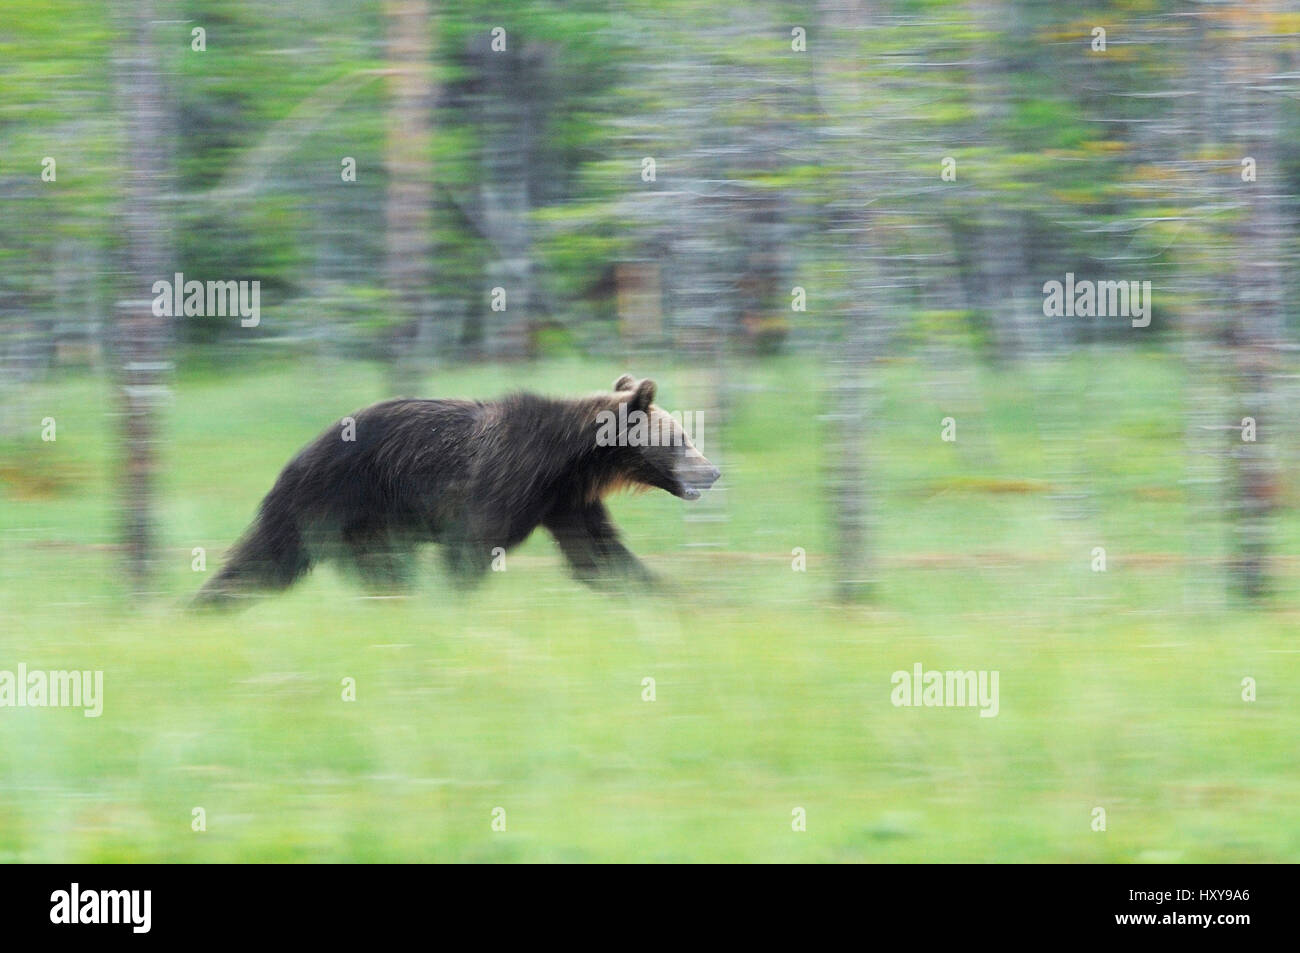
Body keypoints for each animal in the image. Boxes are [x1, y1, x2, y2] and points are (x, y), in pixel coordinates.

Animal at [192, 374, 722, 605]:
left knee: (378, 570)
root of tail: (298, 454)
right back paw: (205, 603)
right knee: (269, 558)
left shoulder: (565, 502)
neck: (571, 461)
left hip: (365, 524)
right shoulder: (505, 481)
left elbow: (601, 557)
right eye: (682, 439)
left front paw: (678, 598)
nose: (713, 471)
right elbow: (469, 548)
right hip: (335, 497)